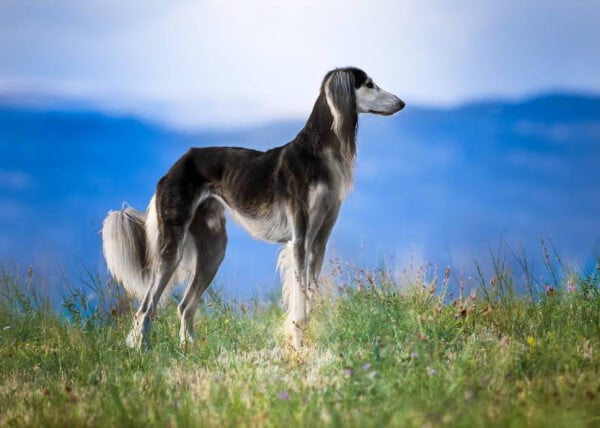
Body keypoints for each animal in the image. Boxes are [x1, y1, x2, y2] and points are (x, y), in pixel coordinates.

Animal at [102, 65, 404, 350]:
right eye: (369, 84)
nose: (401, 103)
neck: (317, 153)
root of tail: (174, 167)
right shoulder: (300, 240)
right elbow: (299, 300)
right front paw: (299, 344)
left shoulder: (319, 242)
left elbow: (310, 295)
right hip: (172, 247)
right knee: (146, 307)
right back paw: (142, 350)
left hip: (214, 249)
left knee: (185, 306)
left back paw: (189, 348)